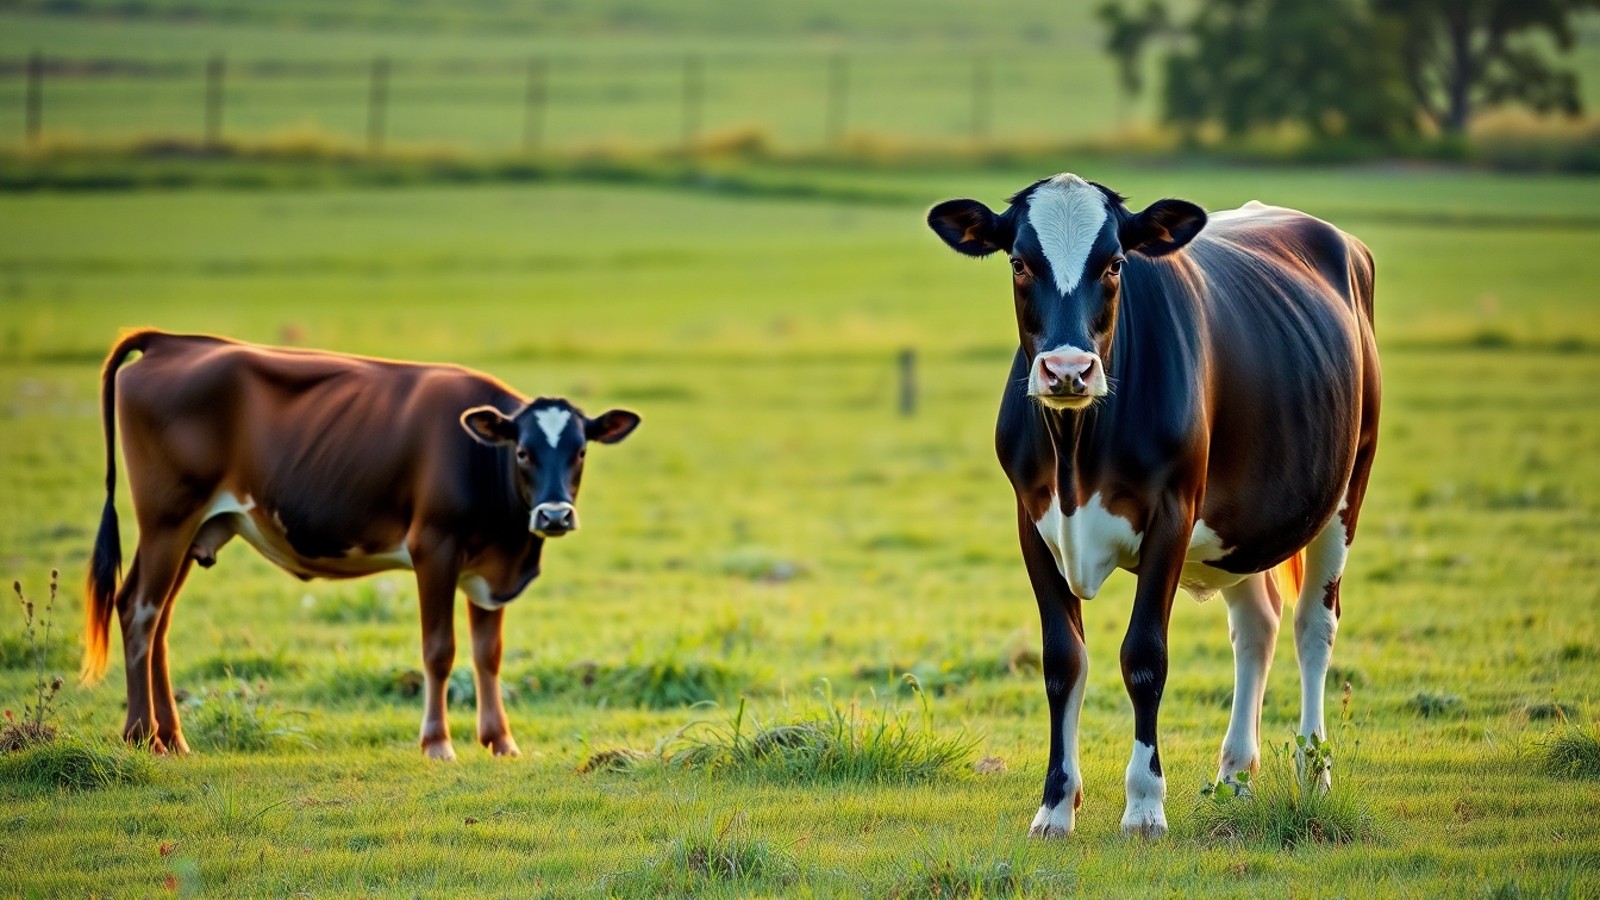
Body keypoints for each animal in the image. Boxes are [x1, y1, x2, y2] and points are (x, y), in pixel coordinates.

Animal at [81, 330, 640, 760]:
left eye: (581, 451)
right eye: (522, 452)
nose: (554, 514)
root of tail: (170, 341)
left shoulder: (489, 569)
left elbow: (488, 653)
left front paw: (500, 741)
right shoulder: (434, 548)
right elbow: (440, 649)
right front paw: (437, 743)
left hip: (192, 529)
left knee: (158, 621)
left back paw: (173, 738)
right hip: (167, 520)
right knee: (139, 610)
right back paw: (142, 735)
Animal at [927, 174, 1379, 837]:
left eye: (1115, 263)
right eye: (1018, 262)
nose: (1068, 370)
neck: (1076, 456)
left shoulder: (1174, 511)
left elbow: (1144, 656)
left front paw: (1144, 804)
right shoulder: (1031, 521)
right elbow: (1062, 660)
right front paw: (1055, 804)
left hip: (1346, 489)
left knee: (1313, 627)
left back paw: (1313, 773)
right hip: (1239, 527)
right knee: (1258, 626)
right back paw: (1235, 776)